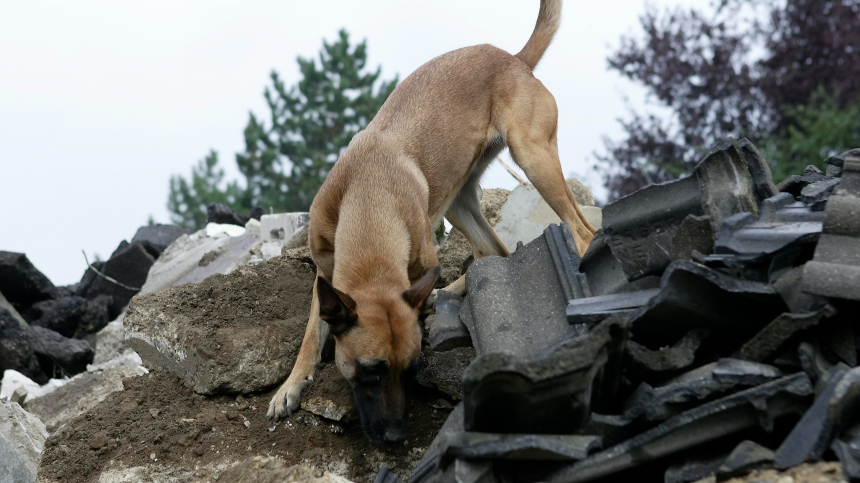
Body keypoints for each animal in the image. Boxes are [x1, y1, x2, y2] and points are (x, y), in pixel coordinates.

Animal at [266, 0, 596, 446]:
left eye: (411, 371)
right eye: (371, 371)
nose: (394, 437)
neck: (369, 199)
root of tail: (514, 59)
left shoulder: (416, 259)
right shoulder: (327, 273)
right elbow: (309, 336)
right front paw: (291, 385)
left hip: (531, 155)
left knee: (581, 230)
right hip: (458, 198)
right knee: (493, 251)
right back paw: (445, 294)